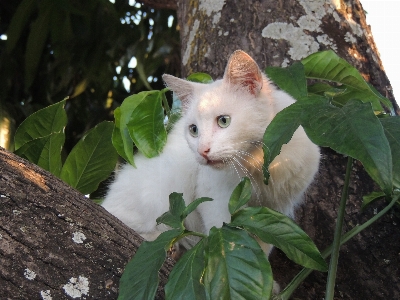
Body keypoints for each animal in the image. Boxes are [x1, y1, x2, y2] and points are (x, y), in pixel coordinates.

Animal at [101, 49, 320, 253]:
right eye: (194, 130)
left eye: (224, 121)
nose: (202, 150)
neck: (262, 164)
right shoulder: (217, 201)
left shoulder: (272, 212)